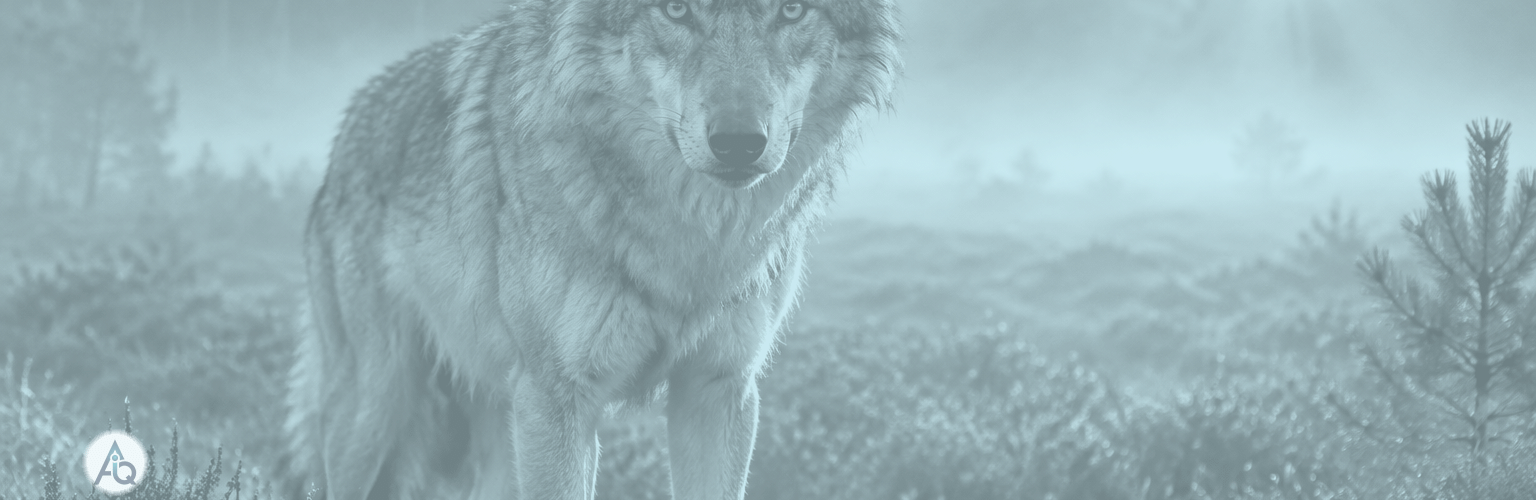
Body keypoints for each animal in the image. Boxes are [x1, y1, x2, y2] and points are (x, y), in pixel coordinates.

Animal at [282, 0, 899, 499]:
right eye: (677, 10)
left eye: (791, 11)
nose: (739, 141)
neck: (689, 242)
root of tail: (347, 126)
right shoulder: (559, 399)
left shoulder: (717, 391)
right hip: (375, 410)